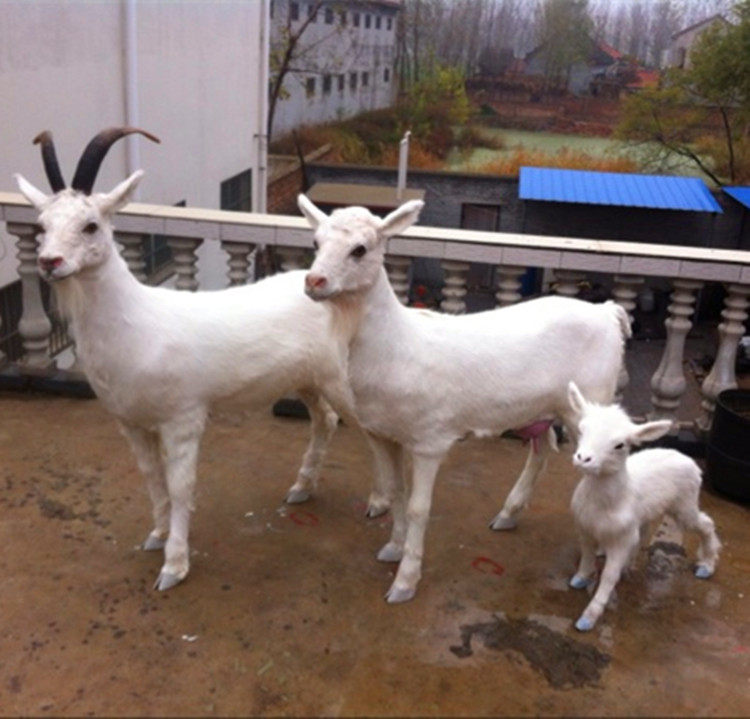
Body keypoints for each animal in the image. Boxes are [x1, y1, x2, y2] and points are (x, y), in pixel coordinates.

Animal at [16, 128, 356, 590]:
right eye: (42, 225)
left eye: (91, 225)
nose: (51, 263)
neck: (138, 324)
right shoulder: (131, 422)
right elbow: (152, 478)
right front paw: (156, 536)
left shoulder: (183, 418)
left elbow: (180, 486)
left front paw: (174, 567)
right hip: (307, 379)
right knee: (326, 420)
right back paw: (301, 488)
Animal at [297, 195, 631, 603]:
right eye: (315, 242)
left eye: (360, 249)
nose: (314, 281)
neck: (395, 344)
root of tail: (607, 311)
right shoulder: (381, 432)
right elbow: (394, 492)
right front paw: (392, 548)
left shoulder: (430, 438)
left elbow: (418, 507)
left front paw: (405, 581)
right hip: (541, 408)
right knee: (541, 449)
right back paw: (508, 513)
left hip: (594, 398)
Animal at [567, 382, 721, 631]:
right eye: (581, 431)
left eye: (620, 445)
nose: (583, 458)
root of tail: (686, 457)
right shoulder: (585, 527)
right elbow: (587, 557)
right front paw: (580, 578)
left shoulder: (622, 537)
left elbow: (609, 575)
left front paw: (588, 617)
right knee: (646, 530)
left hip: (685, 502)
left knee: (705, 523)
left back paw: (707, 565)